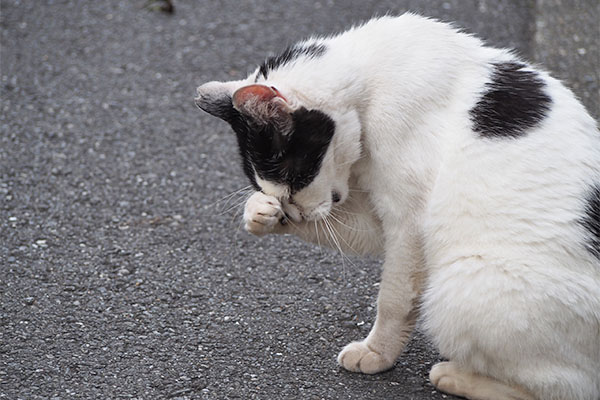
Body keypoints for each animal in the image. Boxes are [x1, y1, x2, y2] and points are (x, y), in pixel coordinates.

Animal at [196, 13, 600, 400]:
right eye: (275, 189)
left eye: (295, 180)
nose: (293, 212)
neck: (367, 82)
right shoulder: (378, 220)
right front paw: (259, 213)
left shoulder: (409, 221)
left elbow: (393, 299)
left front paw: (376, 354)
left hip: (462, 281)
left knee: (566, 388)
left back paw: (454, 376)